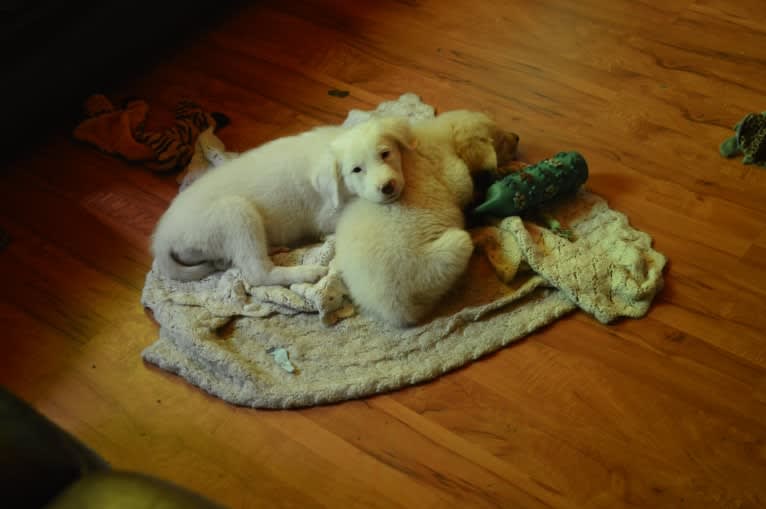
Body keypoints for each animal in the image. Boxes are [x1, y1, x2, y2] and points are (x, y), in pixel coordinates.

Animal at [151, 116, 414, 288]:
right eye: (356, 170)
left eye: (385, 154)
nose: (387, 187)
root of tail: (163, 236)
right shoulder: (327, 212)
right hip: (236, 213)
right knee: (257, 274)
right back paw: (304, 273)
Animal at [334, 109, 520, 328]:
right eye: (498, 138)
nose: (517, 137)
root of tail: (395, 310)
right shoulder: (455, 173)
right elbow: (465, 188)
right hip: (442, 258)